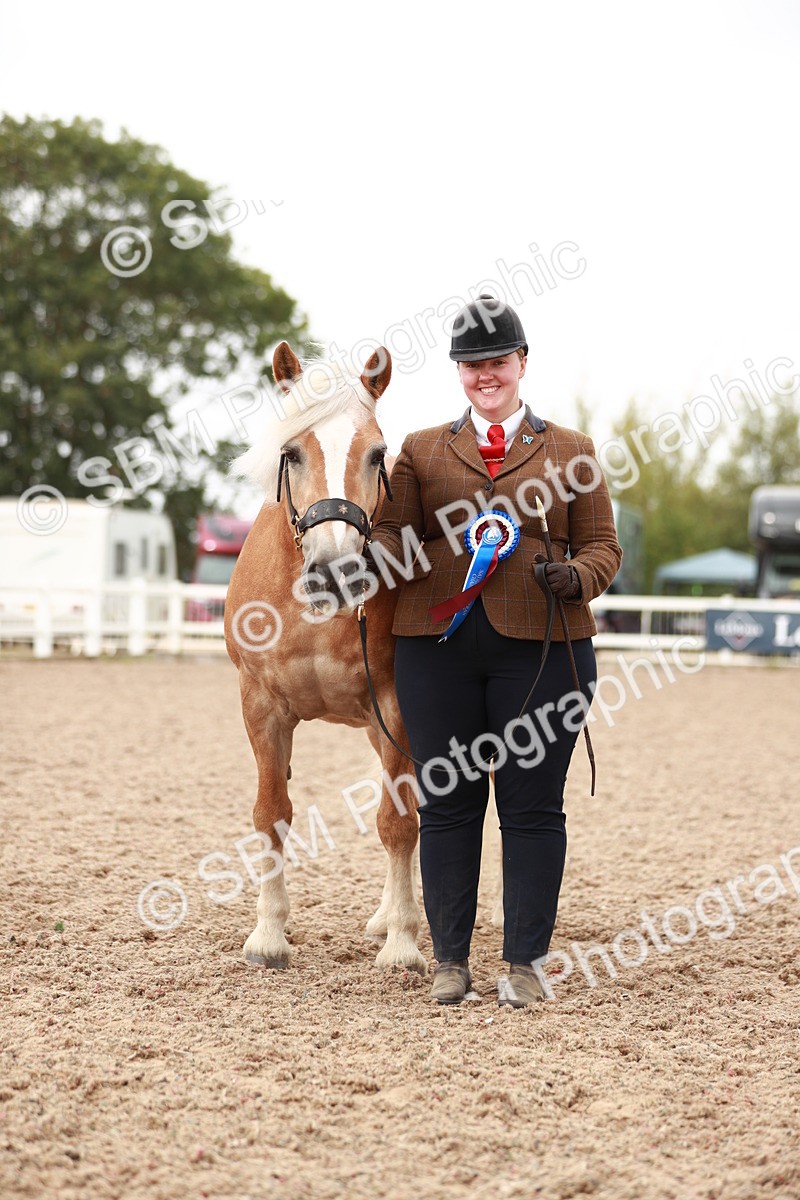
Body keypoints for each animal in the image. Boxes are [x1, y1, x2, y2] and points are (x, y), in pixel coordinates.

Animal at [224, 341, 426, 975]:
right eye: (291, 453)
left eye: (378, 453)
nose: (336, 571)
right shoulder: (261, 706)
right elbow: (271, 813)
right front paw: (268, 935)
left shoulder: (396, 704)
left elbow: (397, 823)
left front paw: (404, 944)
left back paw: (395, 920)